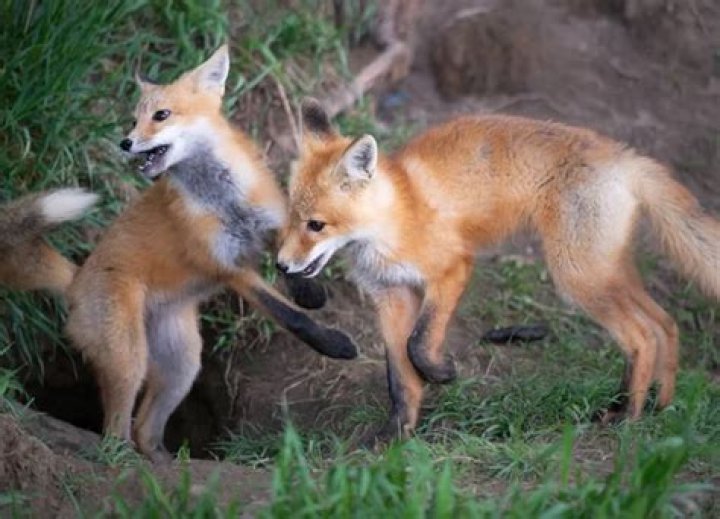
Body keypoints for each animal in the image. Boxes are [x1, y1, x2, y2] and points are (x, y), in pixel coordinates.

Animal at [1, 47, 357, 462]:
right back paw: (125, 461)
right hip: (129, 359)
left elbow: (292, 261)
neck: (224, 201)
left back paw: (163, 463)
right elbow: (290, 316)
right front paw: (333, 343)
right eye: (133, 120)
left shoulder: (272, 223)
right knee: (117, 430)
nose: (125, 142)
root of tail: (76, 281)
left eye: (161, 115)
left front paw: (310, 292)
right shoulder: (229, 268)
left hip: (182, 367)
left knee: (146, 430)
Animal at [277, 98, 720, 442]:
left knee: (642, 336)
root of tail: (624, 156)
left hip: (578, 277)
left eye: (316, 225)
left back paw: (628, 415)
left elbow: (418, 345)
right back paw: (656, 406)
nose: (281, 264)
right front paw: (396, 436)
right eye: (292, 218)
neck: (391, 222)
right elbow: (399, 378)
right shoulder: (391, 295)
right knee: (664, 324)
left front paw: (441, 373)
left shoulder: (452, 270)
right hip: (605, 271)